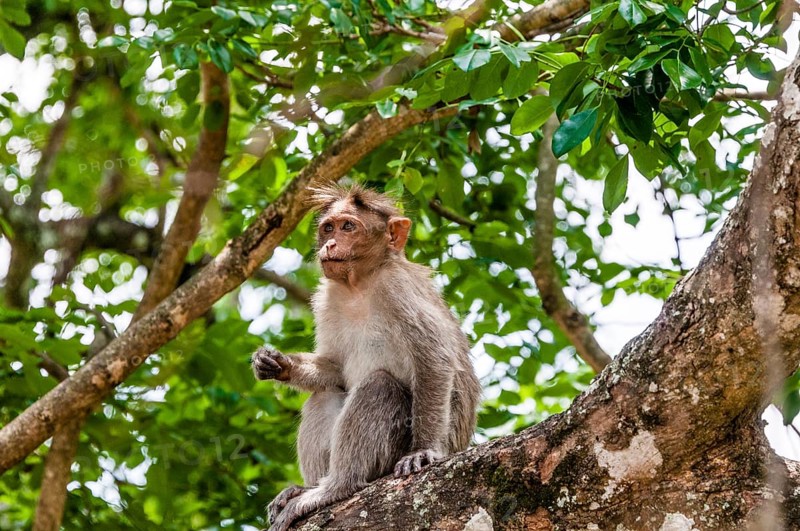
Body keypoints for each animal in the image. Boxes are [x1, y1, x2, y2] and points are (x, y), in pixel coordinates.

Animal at [252, 184, 481, 531]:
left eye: (348, 227)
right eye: (328, 228)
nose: (330, 244)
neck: (358, 285)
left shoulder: (397, 289)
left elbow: (434, 361)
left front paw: (424, 450)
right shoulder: (327, 298)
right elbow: (334, 369)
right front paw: (277, 364)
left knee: (380, 386)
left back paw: (334, 488)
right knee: (325, 394)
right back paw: (309, 487)